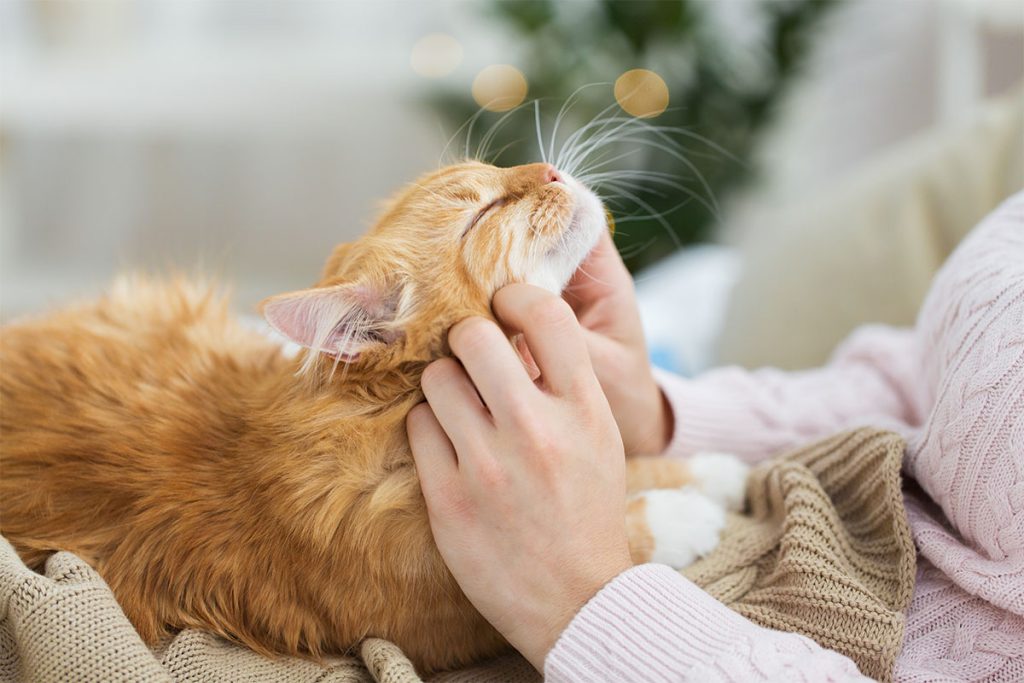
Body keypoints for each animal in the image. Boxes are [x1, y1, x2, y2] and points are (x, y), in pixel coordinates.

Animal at [0, 160, 745, 671]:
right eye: (483, 211)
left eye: (499, 170)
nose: (551, 169)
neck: (386, 421)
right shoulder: (450, 618)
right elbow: (621, 529)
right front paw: (684, 516)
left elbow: (629, 463)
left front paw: (713, 470)